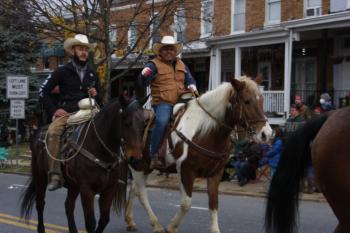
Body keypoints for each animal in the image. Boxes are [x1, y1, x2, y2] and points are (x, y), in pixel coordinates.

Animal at [19, 95, 146, 233]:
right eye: (127, 123)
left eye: (144, 124)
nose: (136, 158)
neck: (97, 146)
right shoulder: (87, 190)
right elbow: (90, 223)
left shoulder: (109, 189)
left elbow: (104, 220)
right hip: (40, 177)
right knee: (40, 204)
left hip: (73, 186)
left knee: (68, 205)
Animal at [126, 76, 274, 233]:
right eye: (246, 101)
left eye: (261, 100)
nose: (267, 134)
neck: (206, 132)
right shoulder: (186, 170)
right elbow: (186, 203)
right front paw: (172, 227)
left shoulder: (216, 173)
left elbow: (213, 202)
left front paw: (214, 229)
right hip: (137, 165)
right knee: (141, 193)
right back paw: (156, 225)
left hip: (145, 167)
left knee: (134, 188)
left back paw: (130, 220)